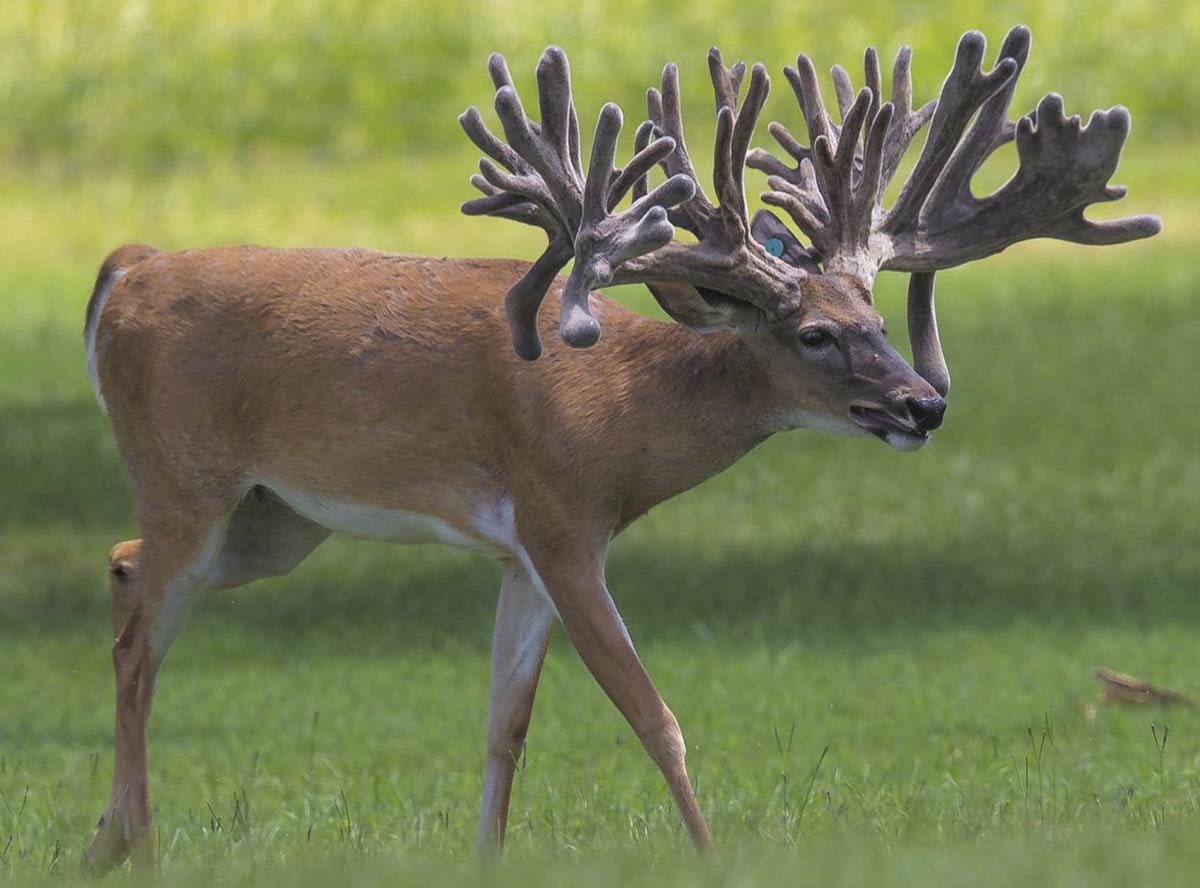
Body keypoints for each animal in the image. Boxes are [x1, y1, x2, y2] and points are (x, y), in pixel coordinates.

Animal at [82, 27, 1152, 873]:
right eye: (813, 333)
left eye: (879, 318)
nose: (922, 404)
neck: (624, 415)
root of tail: (130, 266)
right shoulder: (561, 523)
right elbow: (654, 718)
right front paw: (714, 859)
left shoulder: (524, 552)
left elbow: (504, 727)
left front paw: (486, 864)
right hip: (184, 473)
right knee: (139, 634)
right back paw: (143, 849)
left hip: (278, 521)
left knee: (126, 570)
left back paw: (104, 839)